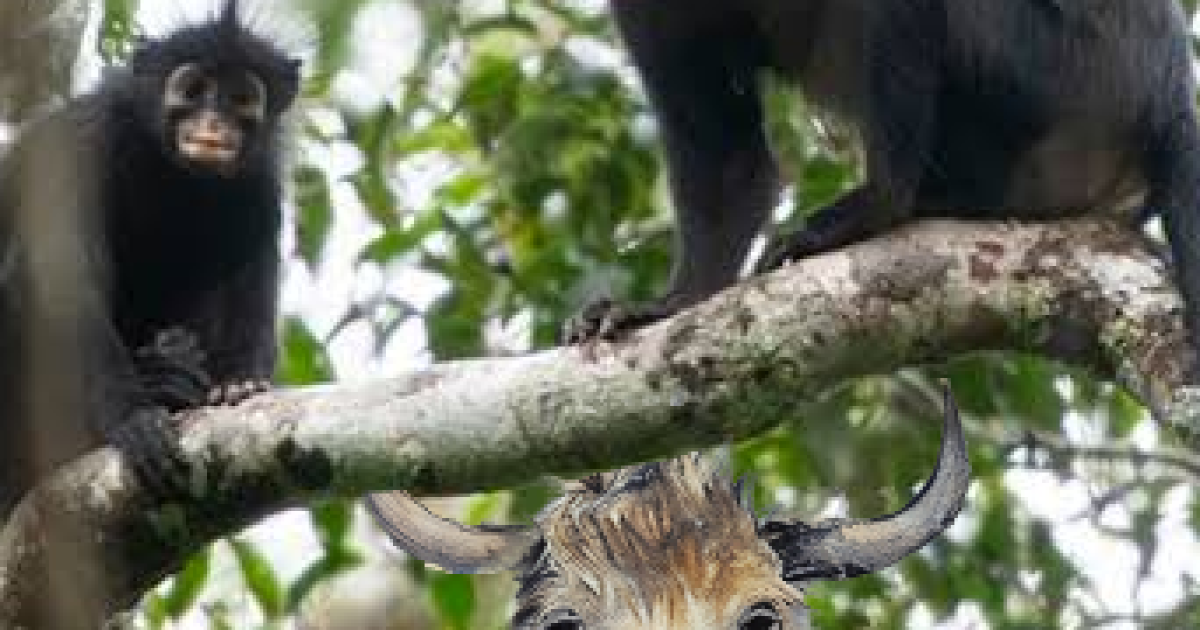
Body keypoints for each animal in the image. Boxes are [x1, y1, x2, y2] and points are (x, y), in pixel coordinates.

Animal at [0, 0, 300, 516]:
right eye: (192, 91)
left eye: (240, 98)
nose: (212, 124)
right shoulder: (85, 141)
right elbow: (63, 281)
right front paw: (133, 418)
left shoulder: (259, 186)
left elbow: (251, 289)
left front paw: (238, 384)